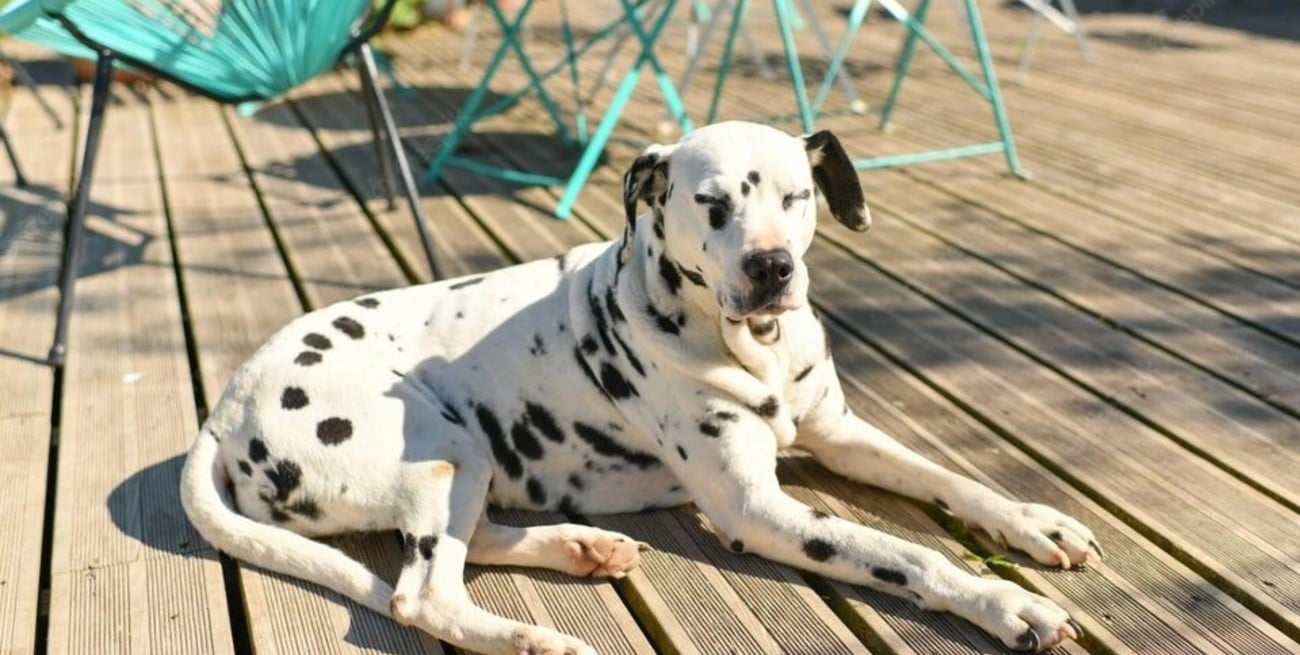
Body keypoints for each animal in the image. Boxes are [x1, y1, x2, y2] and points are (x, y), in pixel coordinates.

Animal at [180, 120, 1097, 652]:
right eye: (712, 203)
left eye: (797, 195)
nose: (773, 267)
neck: (749, 345)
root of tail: (222, 409)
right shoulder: (756, 509)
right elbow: (907, 552)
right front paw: (1000, 602)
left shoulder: (841, 432)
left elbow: (952, 480)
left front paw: (1034, 521)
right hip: (441, 445)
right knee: (423, 593)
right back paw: (530, 638)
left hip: (464, 463)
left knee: (467, 541)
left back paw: (580, 547)